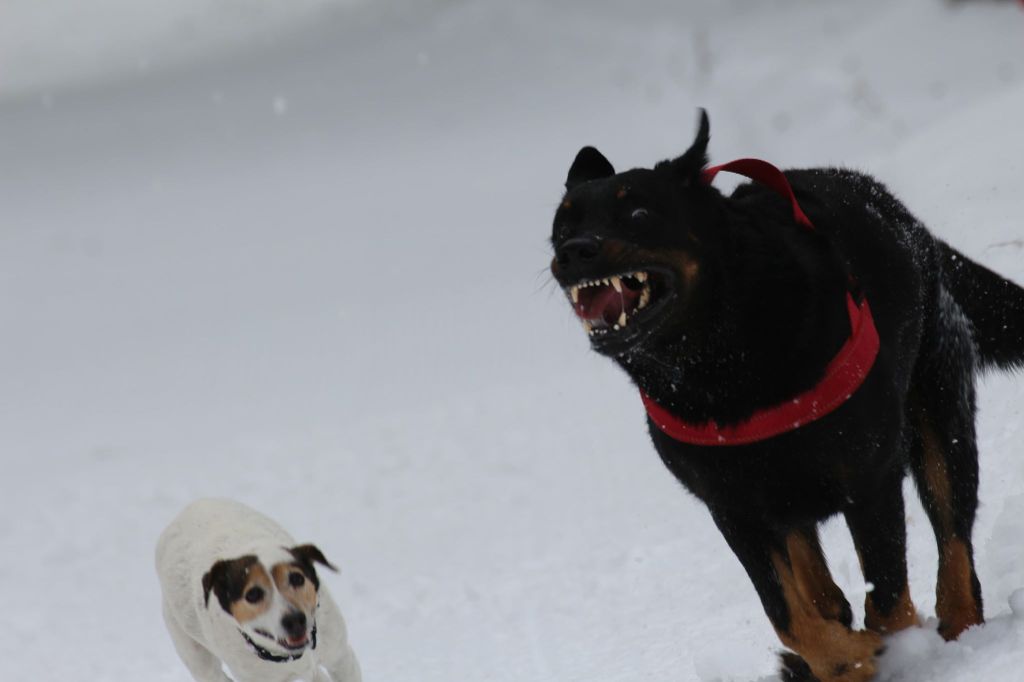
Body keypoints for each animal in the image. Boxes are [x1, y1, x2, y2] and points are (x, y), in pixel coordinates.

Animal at [552, 109, 1024, 675]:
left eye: (640, 212)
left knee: (954, 538)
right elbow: (787, 614)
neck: (719, 362)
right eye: (562, 225)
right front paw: (846, 659)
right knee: (810, 563)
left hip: (938, 408)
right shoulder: (732, 507)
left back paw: (958, 629)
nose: (573, 252)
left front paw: (889, 651)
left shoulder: (870, 476)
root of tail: (913, 226)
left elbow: (887, 596)